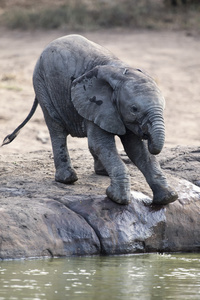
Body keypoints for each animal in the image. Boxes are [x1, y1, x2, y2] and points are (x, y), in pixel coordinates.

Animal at [2, 34, 178, 205]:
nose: (147, 134)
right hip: (42, 85)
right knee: (56, 128)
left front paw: (168, 198)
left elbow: (137, 149)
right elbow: (101, 143)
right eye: (134, 109)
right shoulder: (97, 104)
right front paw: (116, 198)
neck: (121, 72)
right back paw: (67, 179)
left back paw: (102, 173)